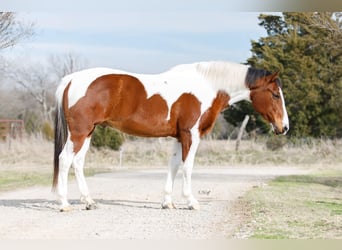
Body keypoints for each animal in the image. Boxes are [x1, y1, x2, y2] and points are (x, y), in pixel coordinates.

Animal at [52, 60, 288, 211]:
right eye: (275, 95)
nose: (284, 127)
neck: (206, 86)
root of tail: (70, 80)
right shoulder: (191, 134)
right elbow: (188, 166)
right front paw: (191, 202)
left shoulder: (178, 136)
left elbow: (174, 165)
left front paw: (168, 202)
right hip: (79, 132)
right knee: (65, 160)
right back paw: (64, 204)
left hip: (88, 132)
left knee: (77, 162)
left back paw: (88, 201)